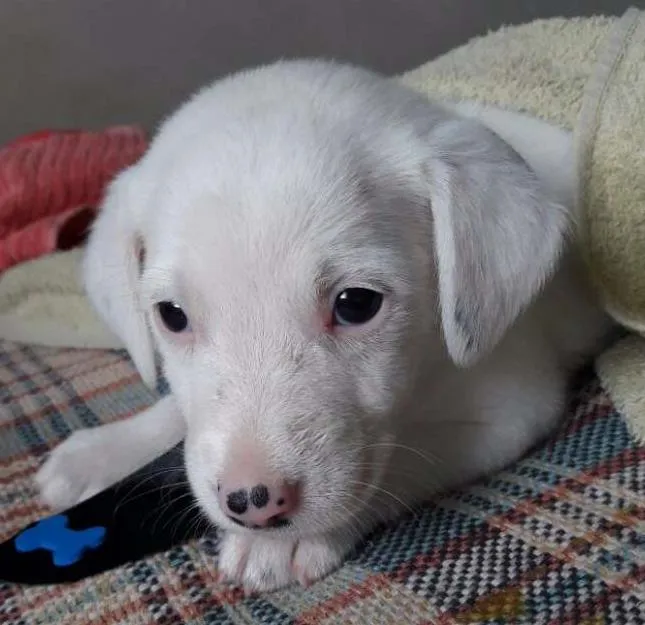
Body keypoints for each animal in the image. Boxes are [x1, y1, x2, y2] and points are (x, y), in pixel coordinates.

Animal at [37, 61, 612, 592]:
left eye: (356, 304)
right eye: (171, 316)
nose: (254, 504)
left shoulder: (511, 408)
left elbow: (398, 464)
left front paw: (285, 542)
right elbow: (175, 409)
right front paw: (104, 450)